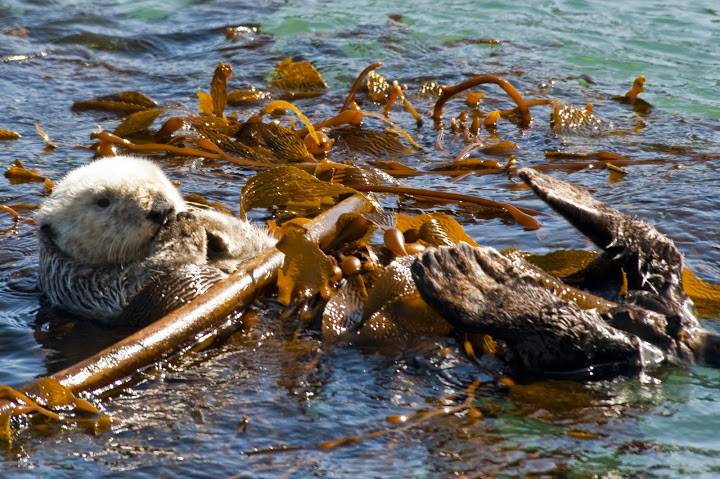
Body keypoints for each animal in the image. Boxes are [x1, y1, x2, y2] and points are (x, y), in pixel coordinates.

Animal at [35, 158, 276, 326]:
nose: (162, 209)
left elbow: (259, 244)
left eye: (161, 182)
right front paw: (182, 230)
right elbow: (161, 276)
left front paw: (201, 217)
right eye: (102, 201)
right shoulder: (98, 289)